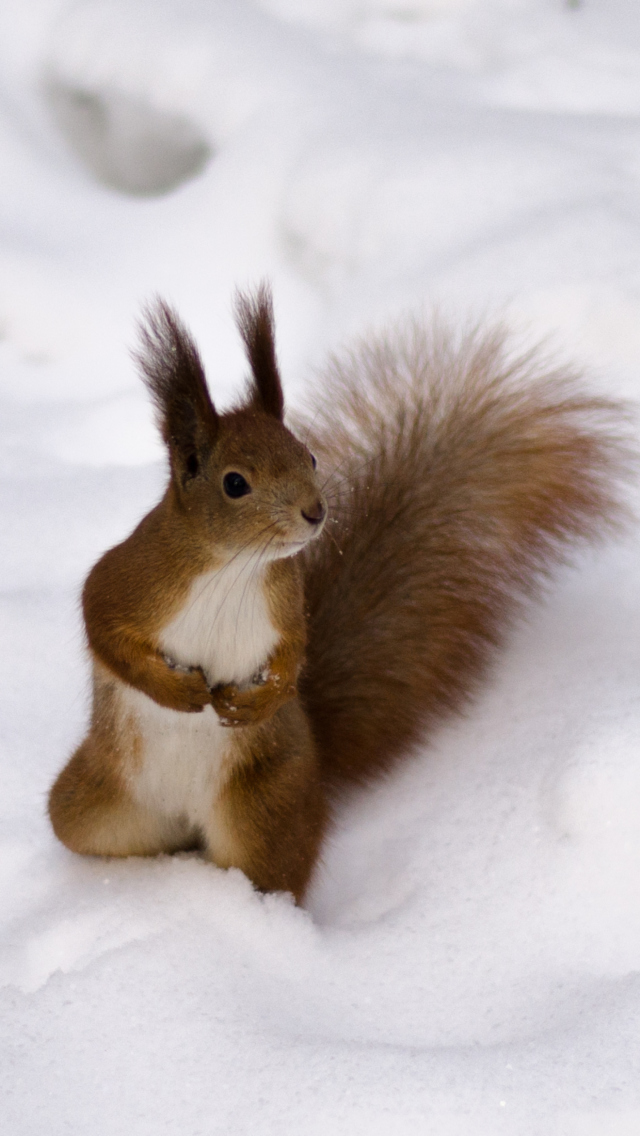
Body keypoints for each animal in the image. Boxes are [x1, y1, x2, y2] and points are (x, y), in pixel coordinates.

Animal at [48, 288, 632, 899]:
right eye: (235, 483)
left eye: (307, 456)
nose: (315, 511)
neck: (233, 567)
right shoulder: (131, 578)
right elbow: (102, 625)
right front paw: (174, 690)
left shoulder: (285, 603)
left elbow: (293, 655)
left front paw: (256, 700)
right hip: (88, 805)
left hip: (265, 812)